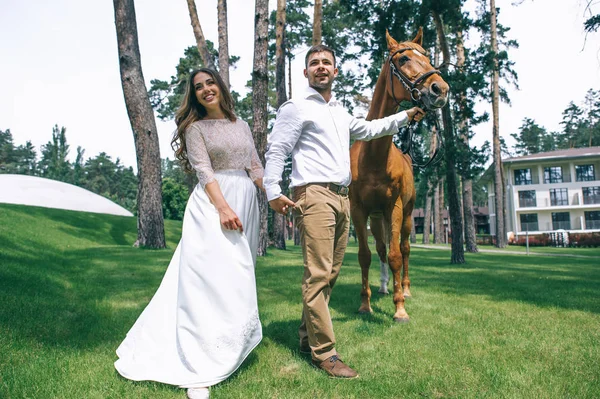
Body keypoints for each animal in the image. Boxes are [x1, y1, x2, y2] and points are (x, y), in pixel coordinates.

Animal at [346, 28, 450, 322]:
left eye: (427, 56)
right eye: (403, 58)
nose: (440, 89)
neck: (372, 157)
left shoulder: (394, 207)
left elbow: (395, 256)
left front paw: (400, 307)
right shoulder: (360, 210)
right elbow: (365, 255)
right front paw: (365, 304)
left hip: (405, 215)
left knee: (403, 249)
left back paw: (404, 288)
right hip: (377, 218)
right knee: (381, 249)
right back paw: (383, 287)